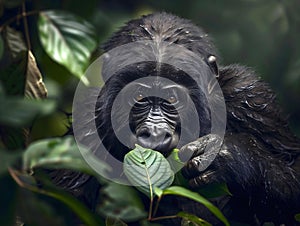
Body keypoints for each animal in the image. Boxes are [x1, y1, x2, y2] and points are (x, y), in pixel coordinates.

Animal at [51, 12, 300, 226]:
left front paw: (228, 155)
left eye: (172, 98)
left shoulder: (251, 97)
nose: (155, 133)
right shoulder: (85, 120)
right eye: (139, 97)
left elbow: (294, 171)